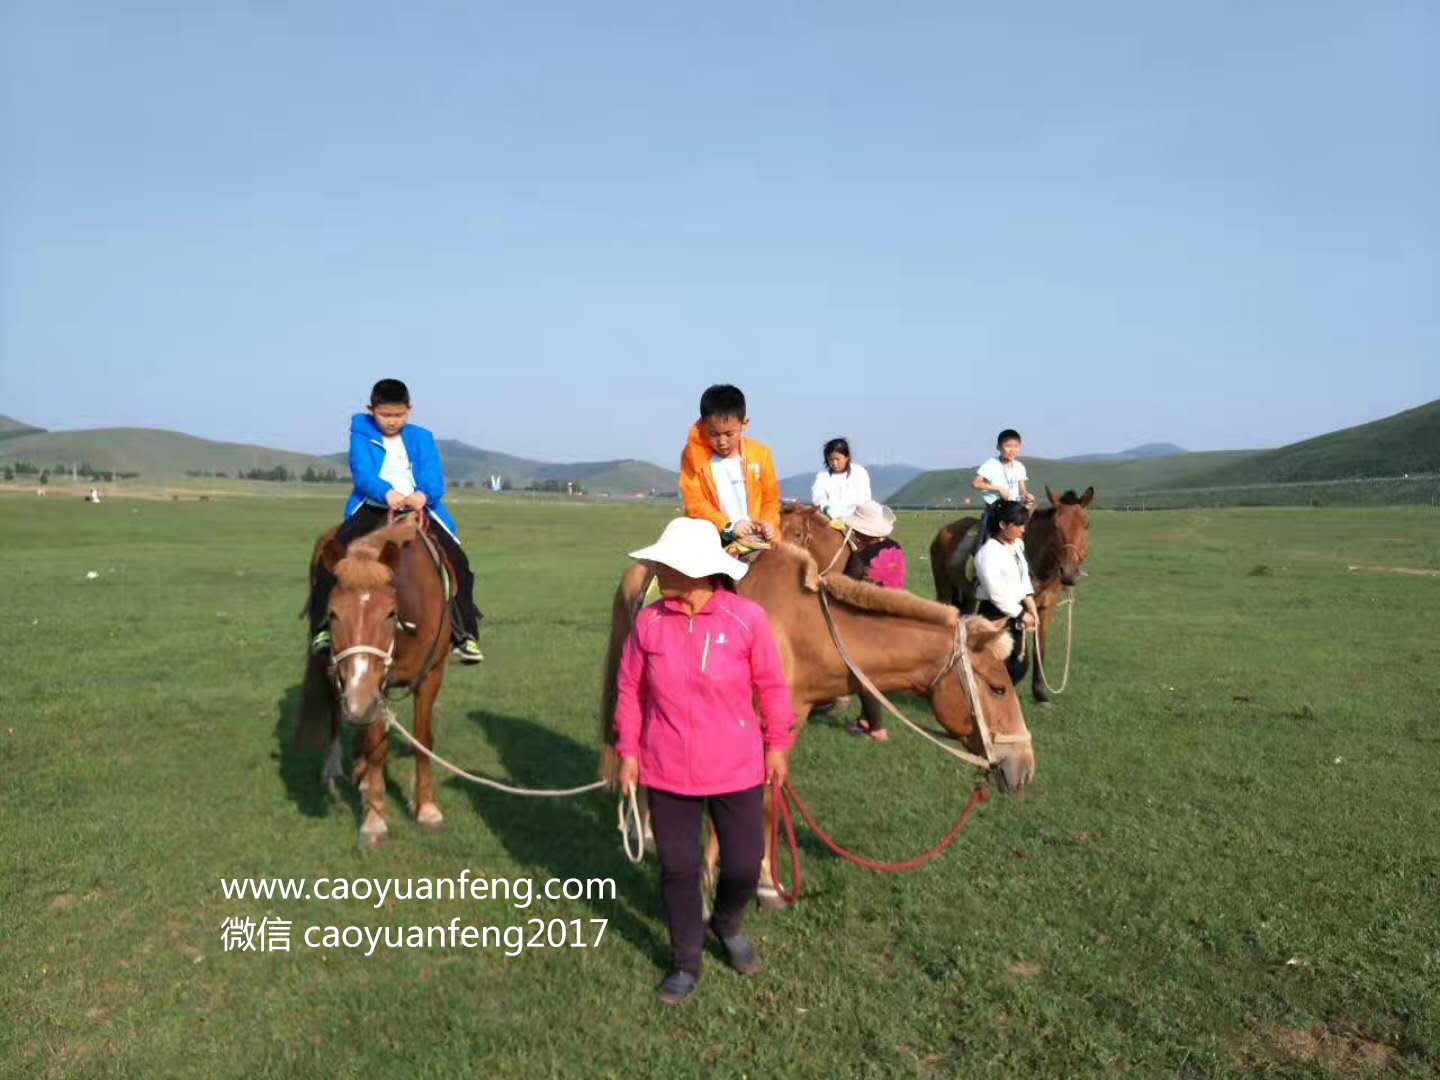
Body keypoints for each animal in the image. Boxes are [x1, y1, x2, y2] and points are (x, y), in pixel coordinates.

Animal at [292, 512, 449, 852]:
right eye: (333, 613)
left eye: (390, 613)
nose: (359, 703)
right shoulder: (371, 685)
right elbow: (377, 747)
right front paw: (375, 821)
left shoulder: (431, 674)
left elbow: (423, 740)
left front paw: (428, 809)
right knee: (337, 713)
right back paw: (336, 768)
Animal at [927, 486, 1094, 705]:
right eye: (1056, 526)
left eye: (1086, 524)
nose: (1069, 572)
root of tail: (943, 531)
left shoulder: (1045, 608)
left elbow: (1040, 648)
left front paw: (1040, 693)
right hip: (944, 588)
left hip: (968, 595)